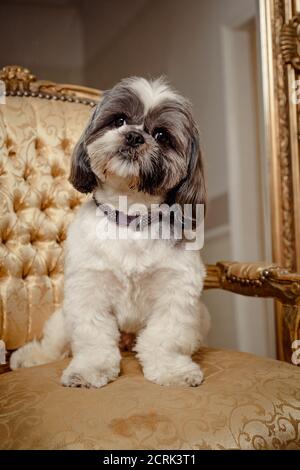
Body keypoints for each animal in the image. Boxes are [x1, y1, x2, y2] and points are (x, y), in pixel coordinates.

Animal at [10, 76, 210, 386]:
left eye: (162, 135)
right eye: (119, 120)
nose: (134, 136)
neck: (130, 219)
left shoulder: (176, 292)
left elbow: (165, 338)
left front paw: (172, 370)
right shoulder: (88, 290)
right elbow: (94, 338)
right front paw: (89, 370)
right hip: (62, 317)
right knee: (54, 343)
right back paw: (31, 357)